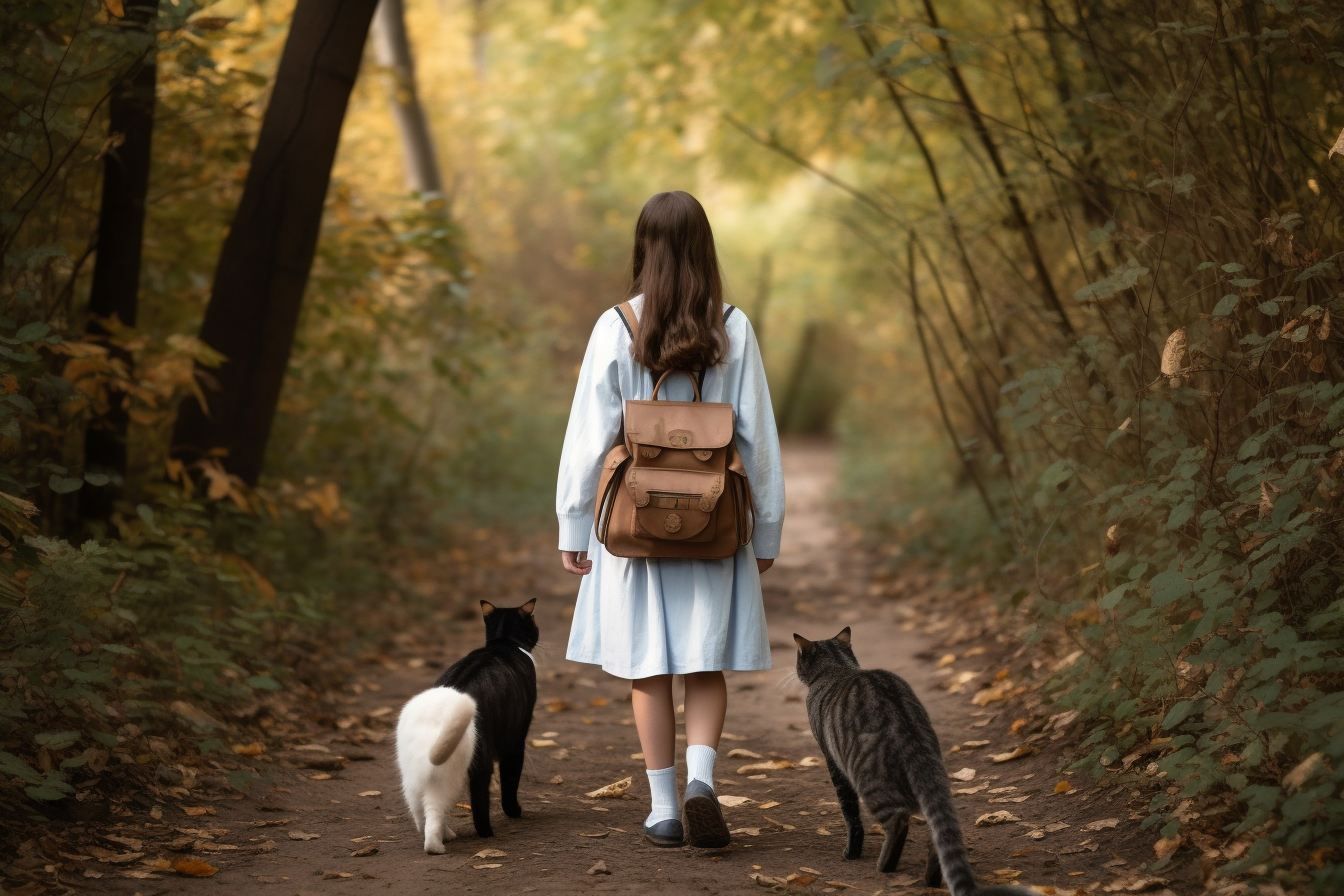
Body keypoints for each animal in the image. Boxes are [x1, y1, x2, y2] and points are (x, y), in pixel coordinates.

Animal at [430, 599, 534, 838]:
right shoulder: (516, 740)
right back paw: (485, 831)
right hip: (482, 753)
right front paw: (513, 811)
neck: (504, 642)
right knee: (479, 794)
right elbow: (510, 777)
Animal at [795, 628, 1037, 896]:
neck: (840, 667)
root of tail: (910, 730)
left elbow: (851, 815)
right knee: (937, 837)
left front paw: (851, 853)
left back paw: (885, 866)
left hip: (873, 784)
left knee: (898, 823)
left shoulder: (834, 764)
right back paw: (931, 879)